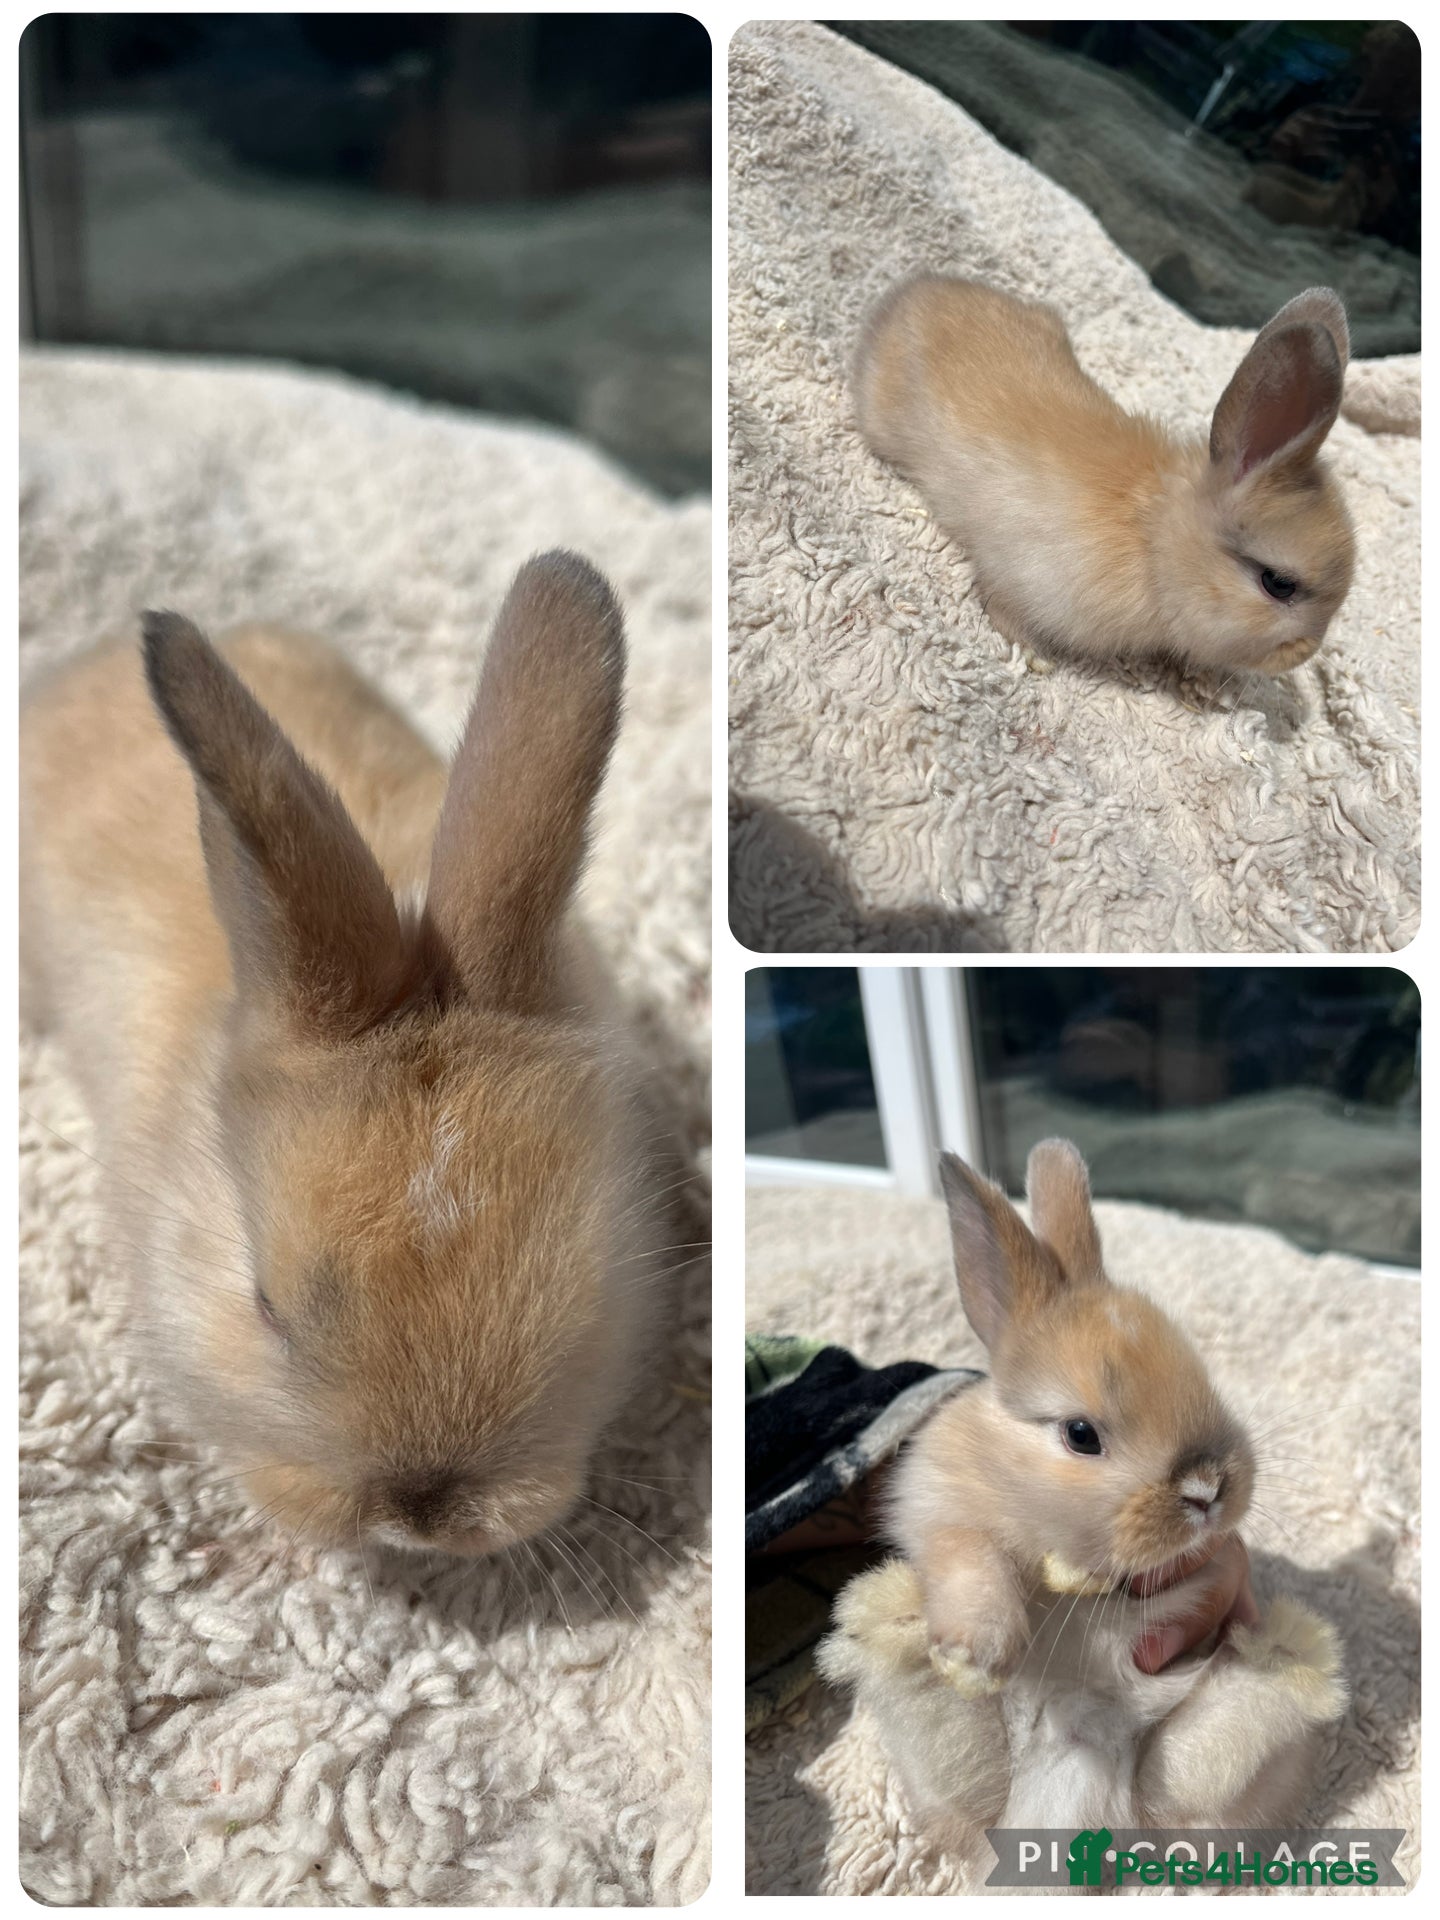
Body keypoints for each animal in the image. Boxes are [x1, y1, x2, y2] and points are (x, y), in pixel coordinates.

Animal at [818, 1140, 1345, 1870]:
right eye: (1080, 1434)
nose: (1210, 1488)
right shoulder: (936, 1508)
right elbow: (970, 1556)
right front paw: (976, 1656)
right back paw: (899, 1629)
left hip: (1197, 1784)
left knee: (1197, 1779)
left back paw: (1285, 1654)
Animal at [853, 278, 1355, 676]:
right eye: (1278, 583)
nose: (1305, 654)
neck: (1153, 542)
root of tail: (909, 292)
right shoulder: (1021, 578)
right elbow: (1001, 607)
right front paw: (1035, 658)